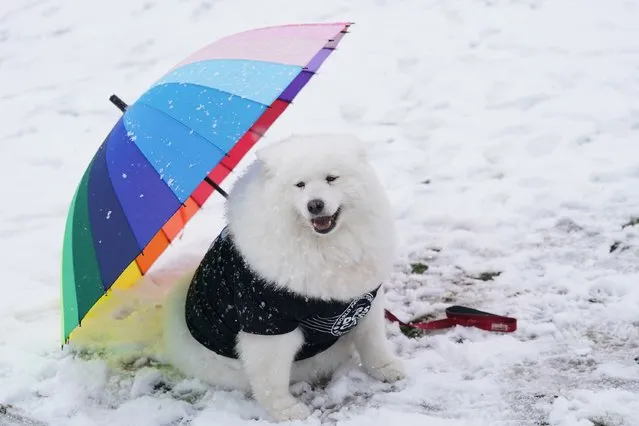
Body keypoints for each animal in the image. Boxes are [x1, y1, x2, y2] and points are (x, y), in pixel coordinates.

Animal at [164, 135, 404, 422]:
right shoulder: (268, 322)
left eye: (331, 178)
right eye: (299, 185)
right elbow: (271, 378)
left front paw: (387, 369)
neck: (325, 249)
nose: (315, 204)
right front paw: (286, 411)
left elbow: (374, 342)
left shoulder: (365, 300)